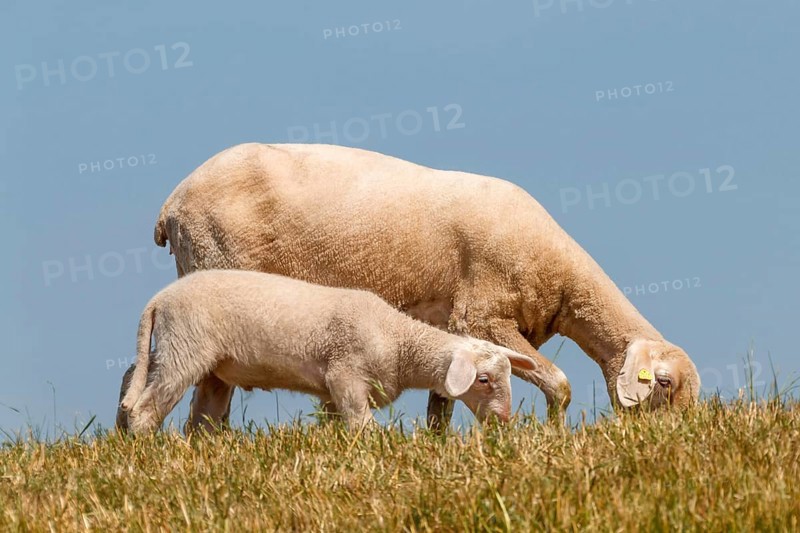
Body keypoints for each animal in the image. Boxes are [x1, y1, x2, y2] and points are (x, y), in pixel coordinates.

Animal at [118, 269, 537, 434]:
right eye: (483, 380)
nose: (504, 421)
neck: (399, 339)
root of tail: (159, 300)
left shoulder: (334, 390)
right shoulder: (345, 374)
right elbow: (361, 423)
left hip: (205, 362)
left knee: (181, 403)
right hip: (184, 346)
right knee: (148, 406)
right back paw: (147, 444)